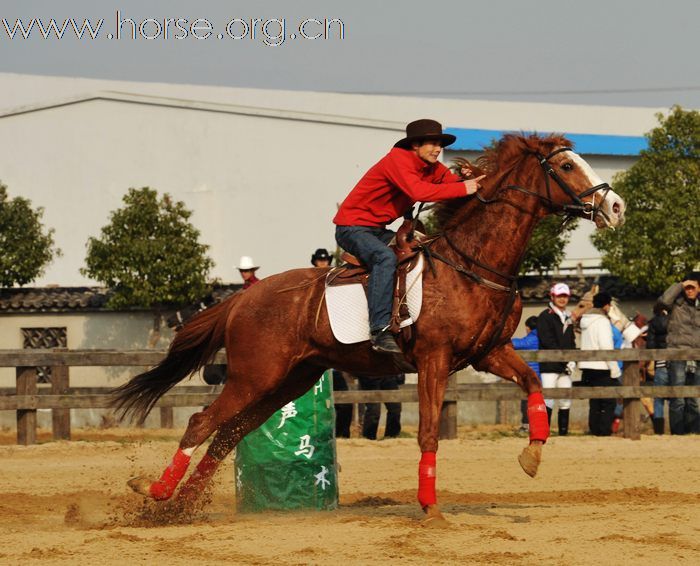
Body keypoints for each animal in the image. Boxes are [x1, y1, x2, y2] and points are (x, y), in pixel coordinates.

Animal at [112, 133, 628, 524]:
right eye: (566, 165)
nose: (617, 206)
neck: (470, 264)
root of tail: (241, 298)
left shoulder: (490, 353)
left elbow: (534, 385)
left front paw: (532, 455)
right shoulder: (434, 360)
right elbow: (428, 434)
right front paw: (430, 509)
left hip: (287, 383)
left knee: (226, 436)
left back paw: (177, 507)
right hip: (254, 377)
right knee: (202, 423)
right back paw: (156, 493)